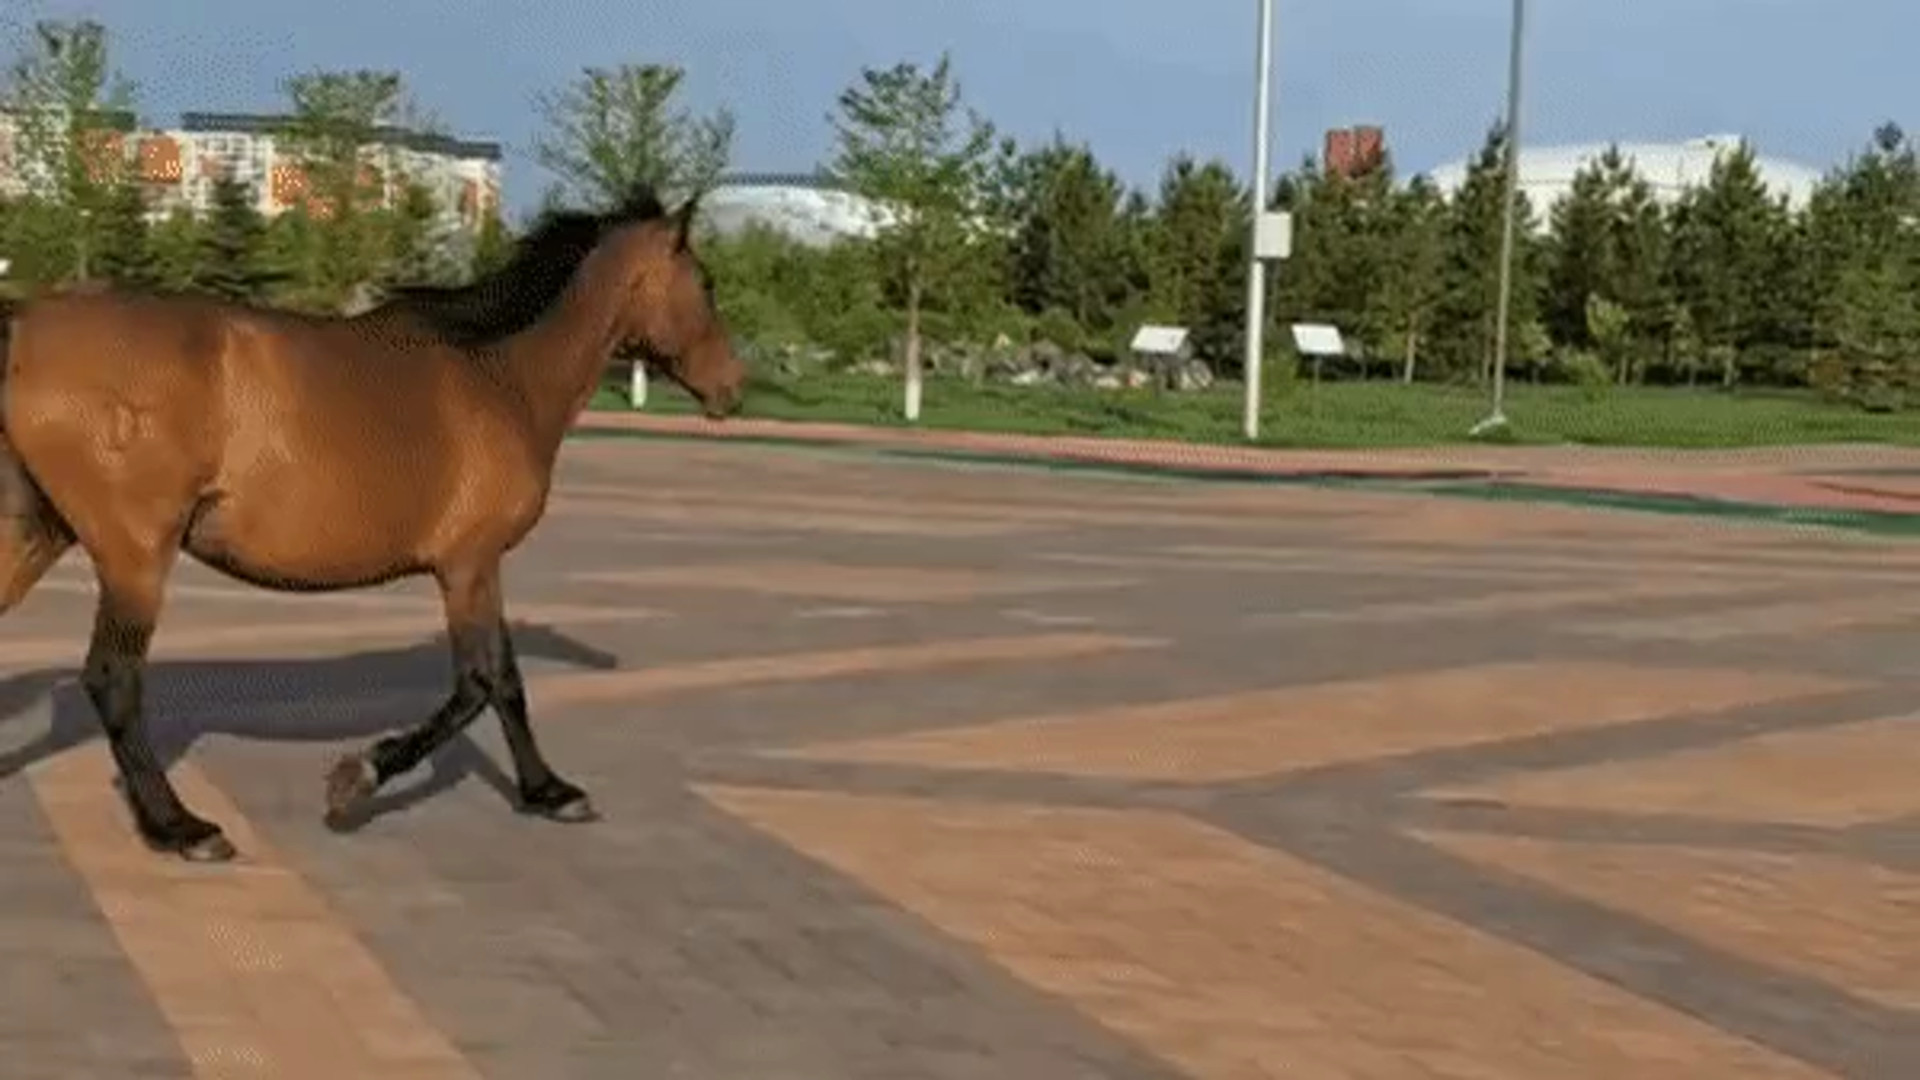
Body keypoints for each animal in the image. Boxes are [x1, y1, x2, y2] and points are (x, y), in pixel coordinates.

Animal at [0, 184, 744, 857]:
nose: (732, 387)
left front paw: (550, 791)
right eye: (705, 281)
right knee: (113, 680)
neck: (503, 374)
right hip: (136, 553)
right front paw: (356, 779)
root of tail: (27, 322)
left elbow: (506, 681)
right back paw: (183, 828)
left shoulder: (479, 567)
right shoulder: (468, 564)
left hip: (40, 534)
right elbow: (478, 683)